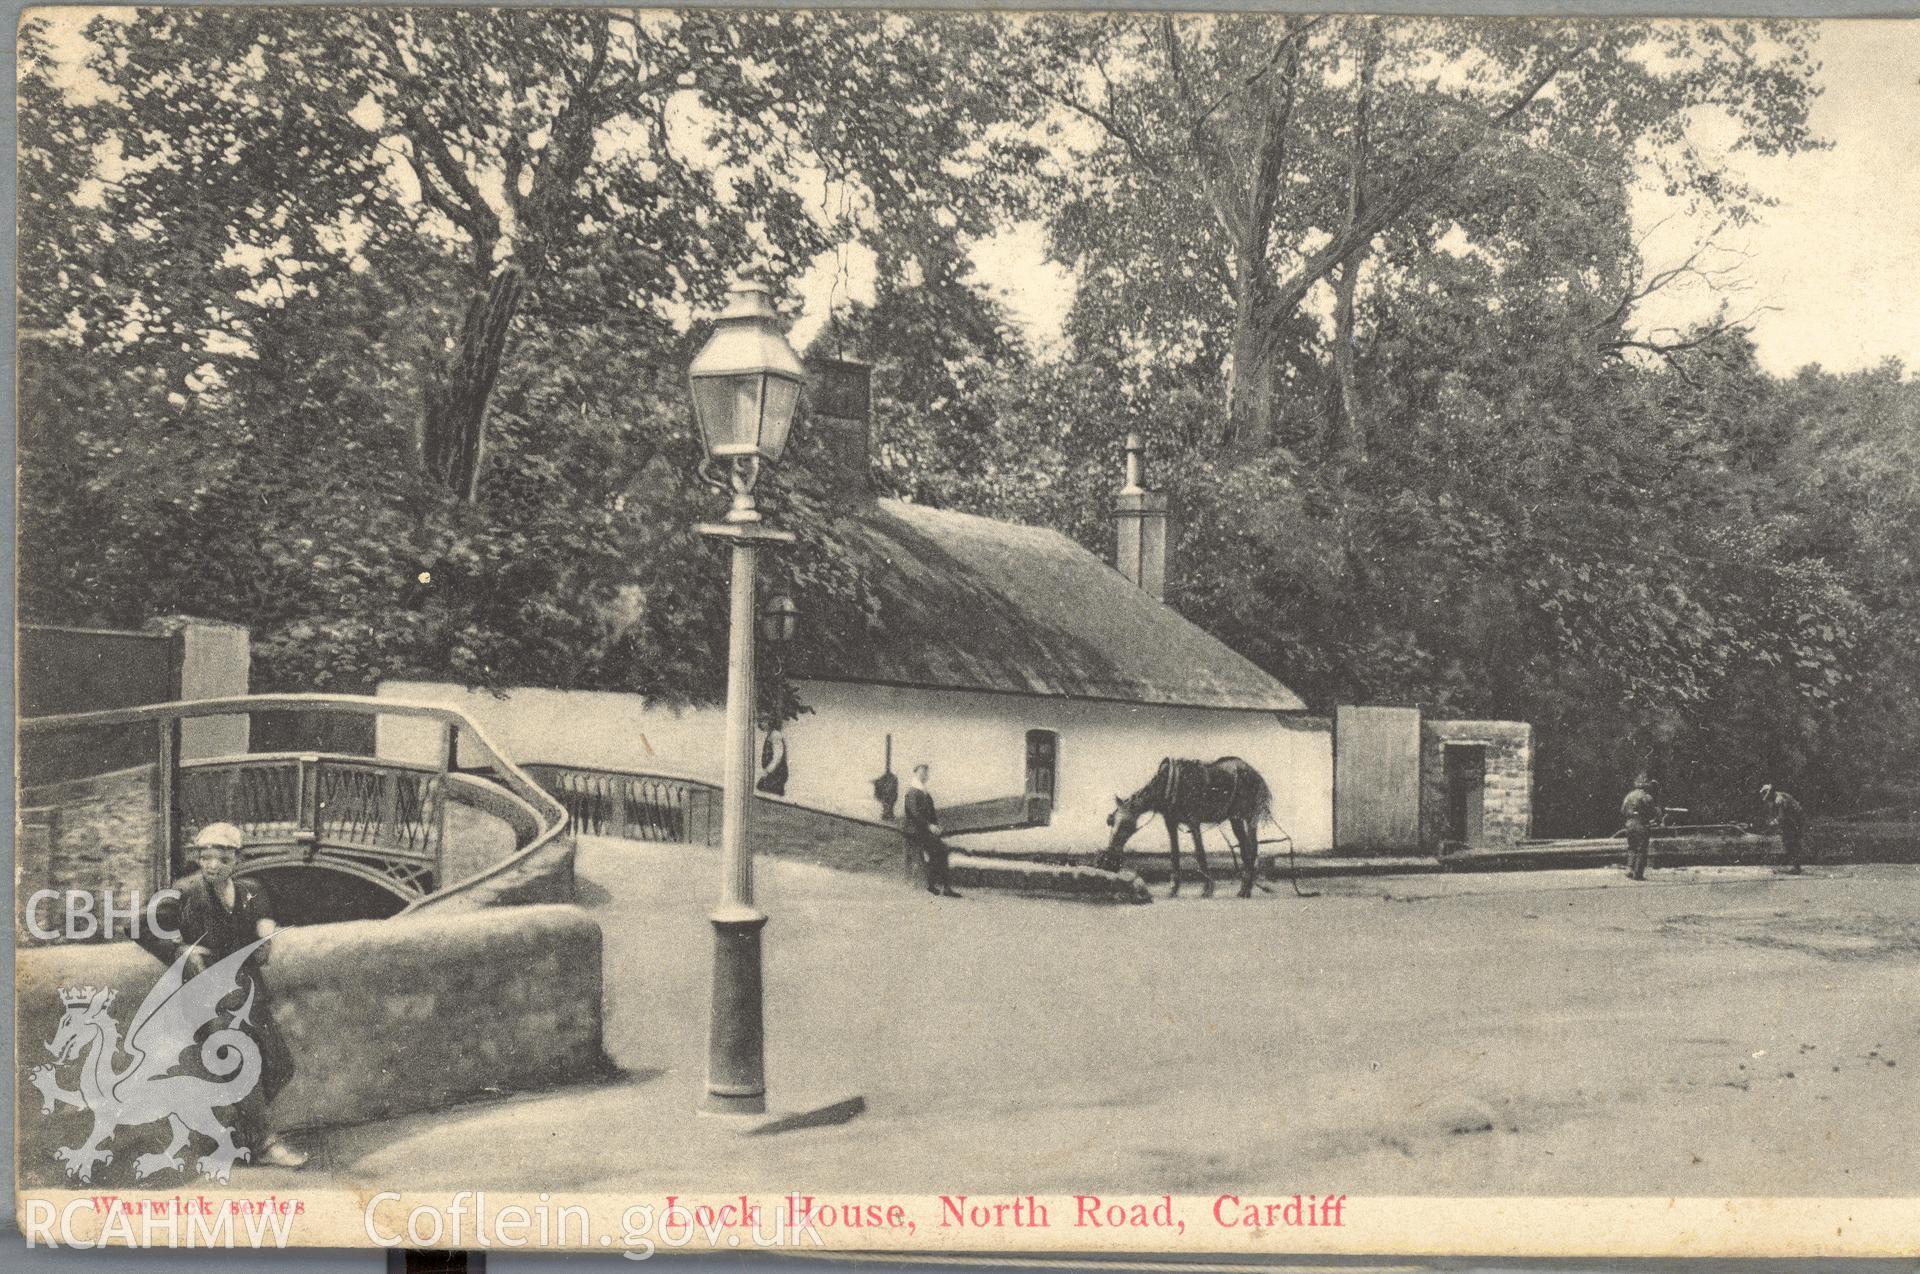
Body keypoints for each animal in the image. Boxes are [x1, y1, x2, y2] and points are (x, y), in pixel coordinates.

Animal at [1098, 755, 1274, 894]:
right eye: (1111, 821)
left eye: (1126, 826)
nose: (1106, 861)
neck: (1168, 785)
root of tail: (1255, 773)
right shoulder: (1170, 823)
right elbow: (1174, 854)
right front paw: (1174, 889)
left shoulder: (1193, 821)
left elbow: (1199, 853)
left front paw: (1208, 888)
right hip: (1235, 818)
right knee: (1246, 849)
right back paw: (1245, 888)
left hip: (1249, 817)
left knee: (1252, 849)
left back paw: (1246, 890)